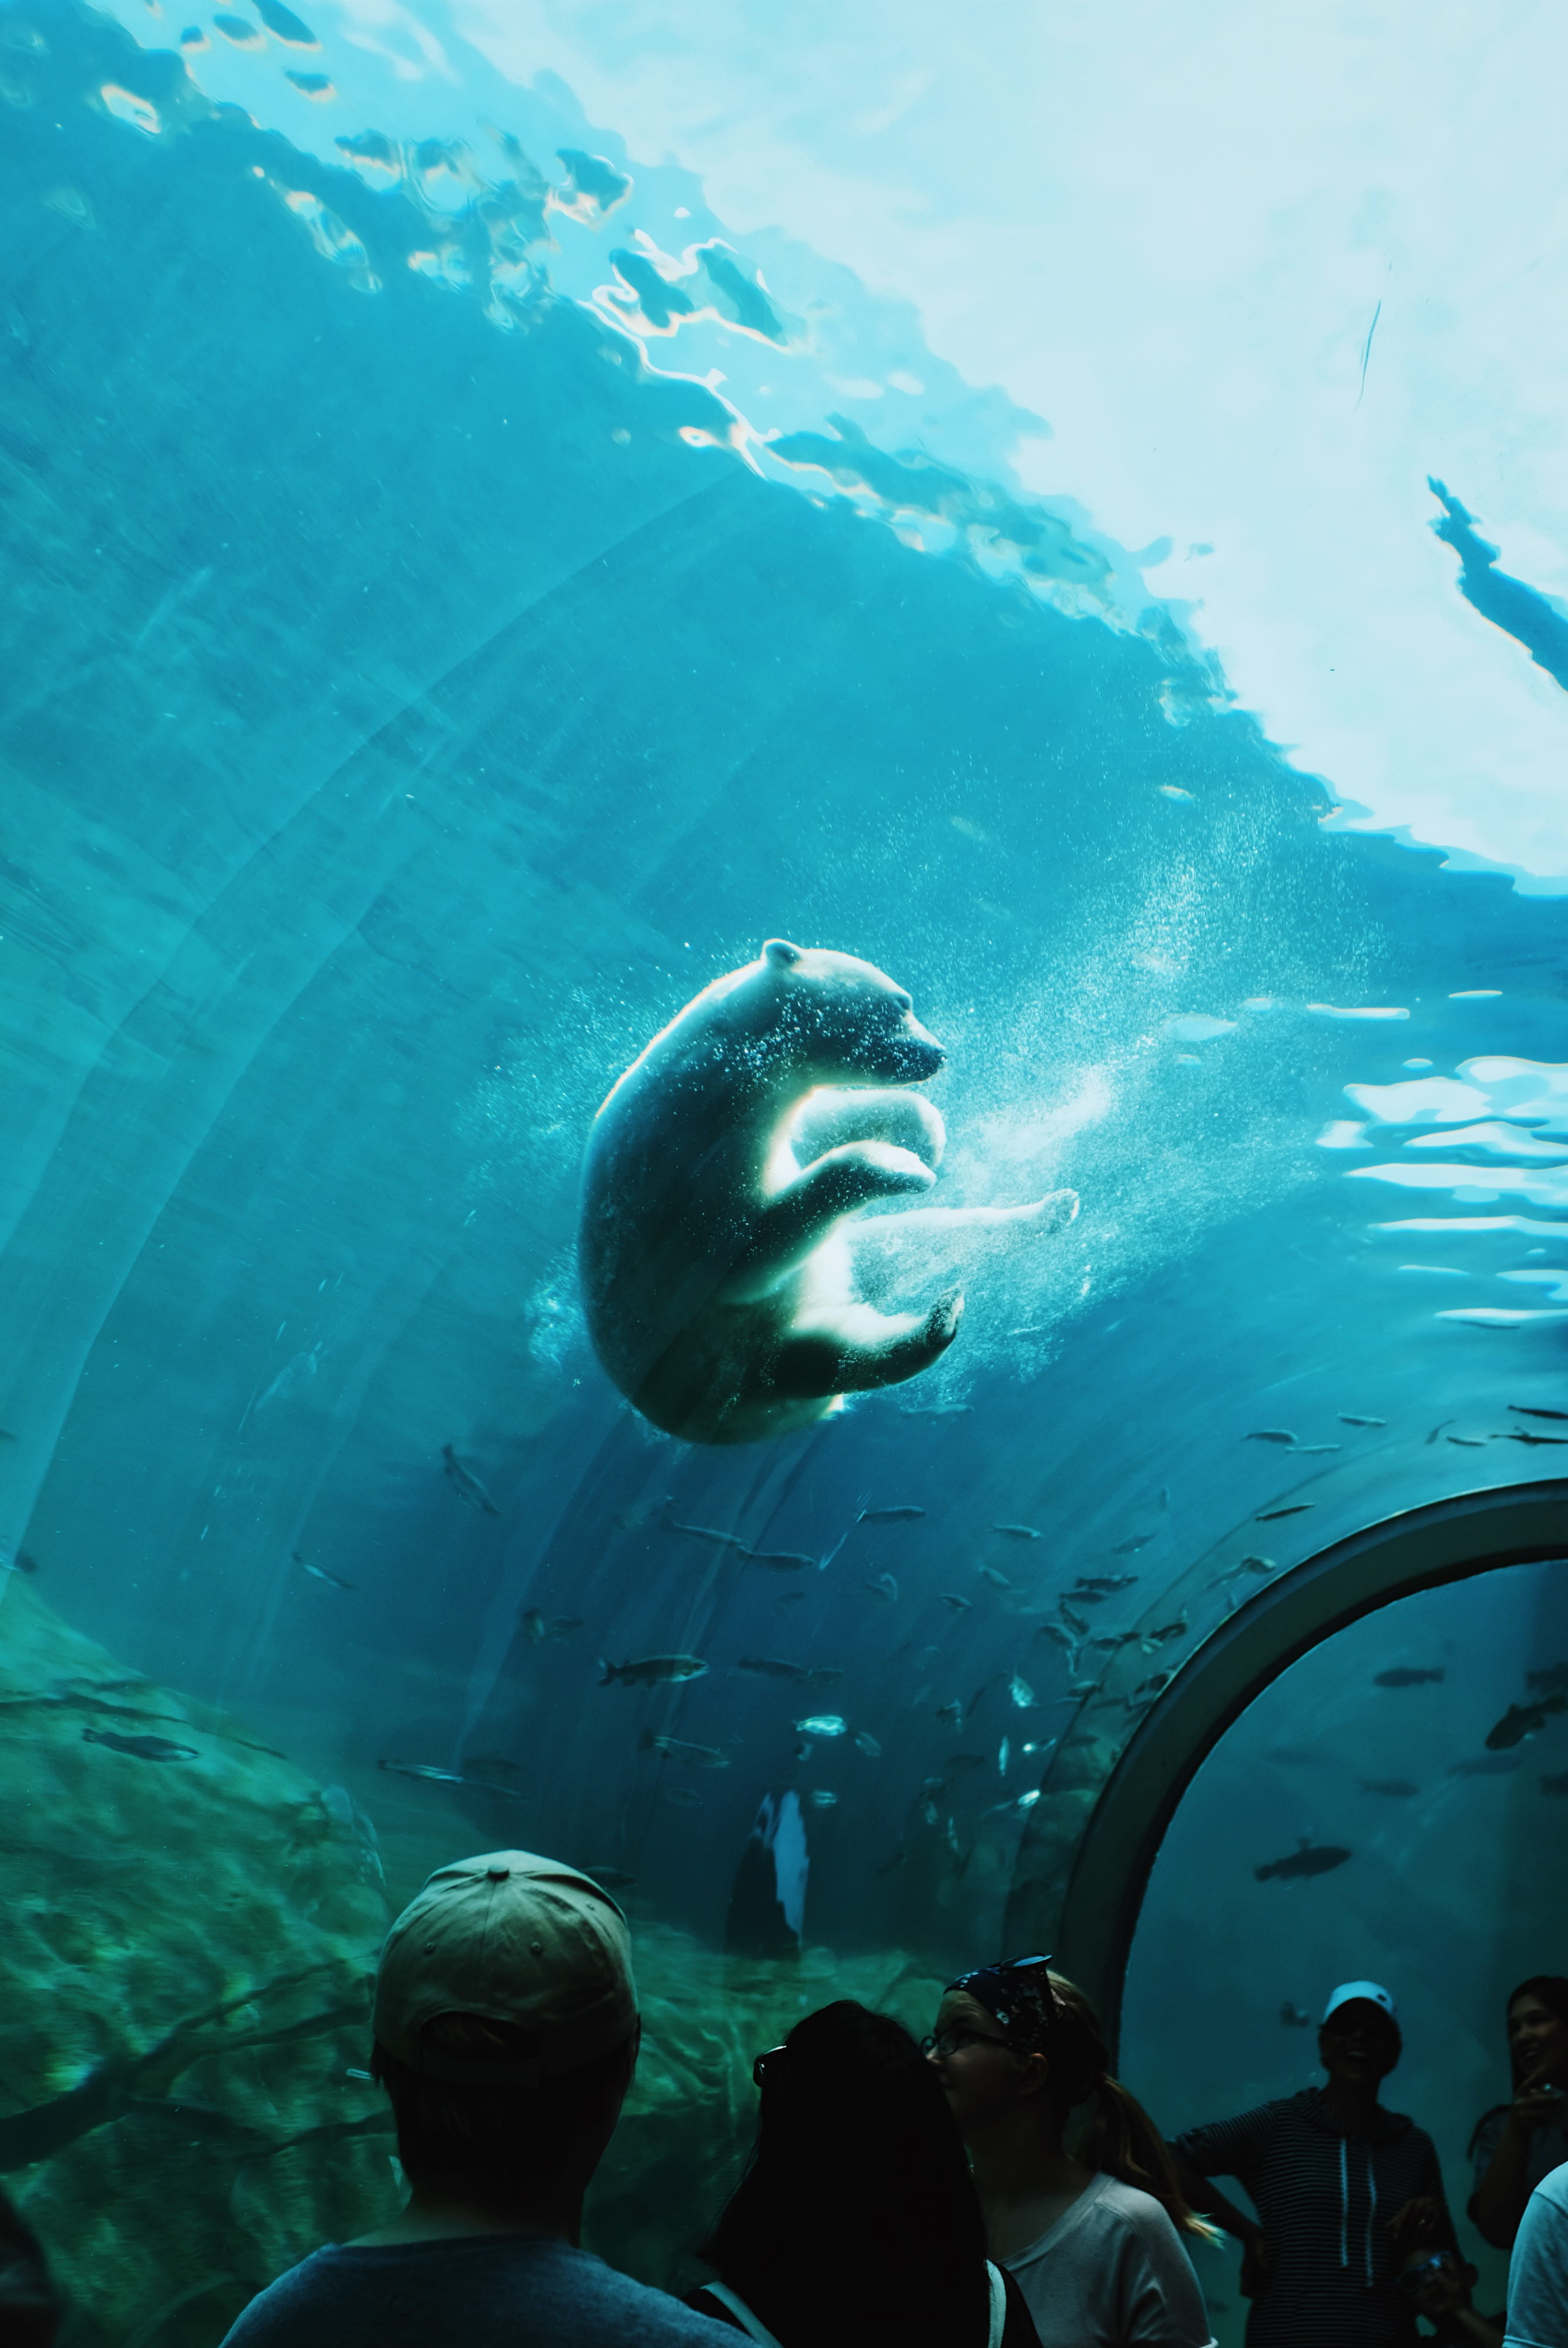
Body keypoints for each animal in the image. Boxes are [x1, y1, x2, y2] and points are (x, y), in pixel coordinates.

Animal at [578, 940, 1076, 1445]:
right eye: (903, 1002)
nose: (938, 1053)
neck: (724, 1068)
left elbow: (821, 1125)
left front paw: (924, 1138)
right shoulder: (690, 1171)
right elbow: (747, 1259)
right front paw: (900, 1165)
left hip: (831, 1278)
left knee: (911, 1247)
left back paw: (1045, 1216)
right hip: (733, 1371)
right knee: (832, 1357)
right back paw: (935, 1325)